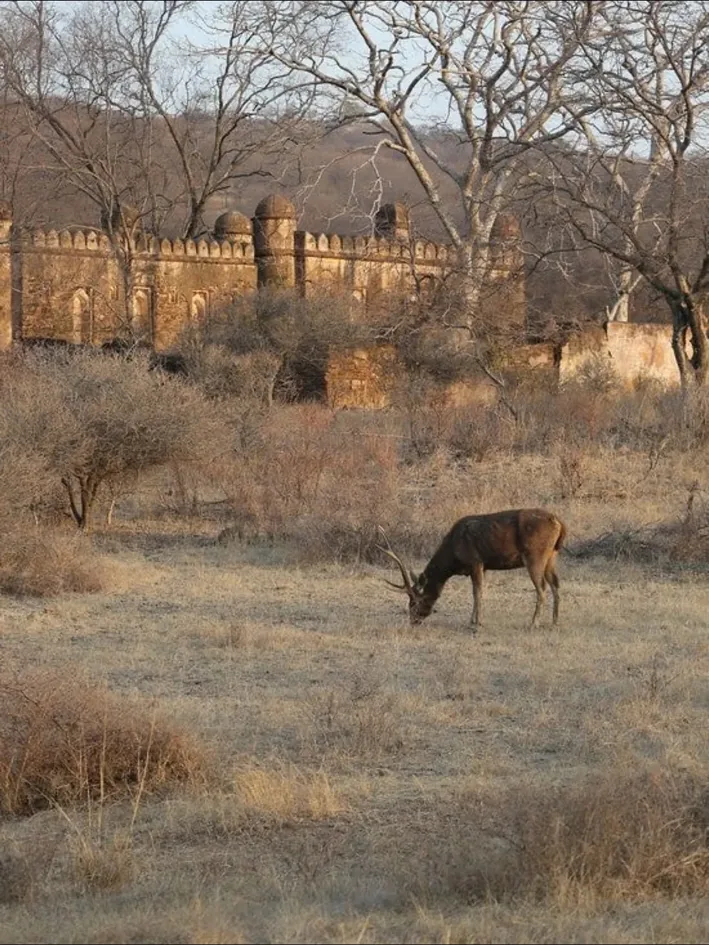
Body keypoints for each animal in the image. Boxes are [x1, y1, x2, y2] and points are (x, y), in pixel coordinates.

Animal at [377, 508, 567, 631]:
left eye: (415, 602)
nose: (413, 621)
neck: (453, 556)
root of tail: (559, 523)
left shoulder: (476, 561)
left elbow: (477, 593)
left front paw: (477, 623)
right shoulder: (483, 567)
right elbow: (476, 592)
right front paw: (473, 620)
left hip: (535, 554)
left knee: (541, 588)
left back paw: (534, 623)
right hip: (552, 555)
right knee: (556, 584)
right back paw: (554, 622)